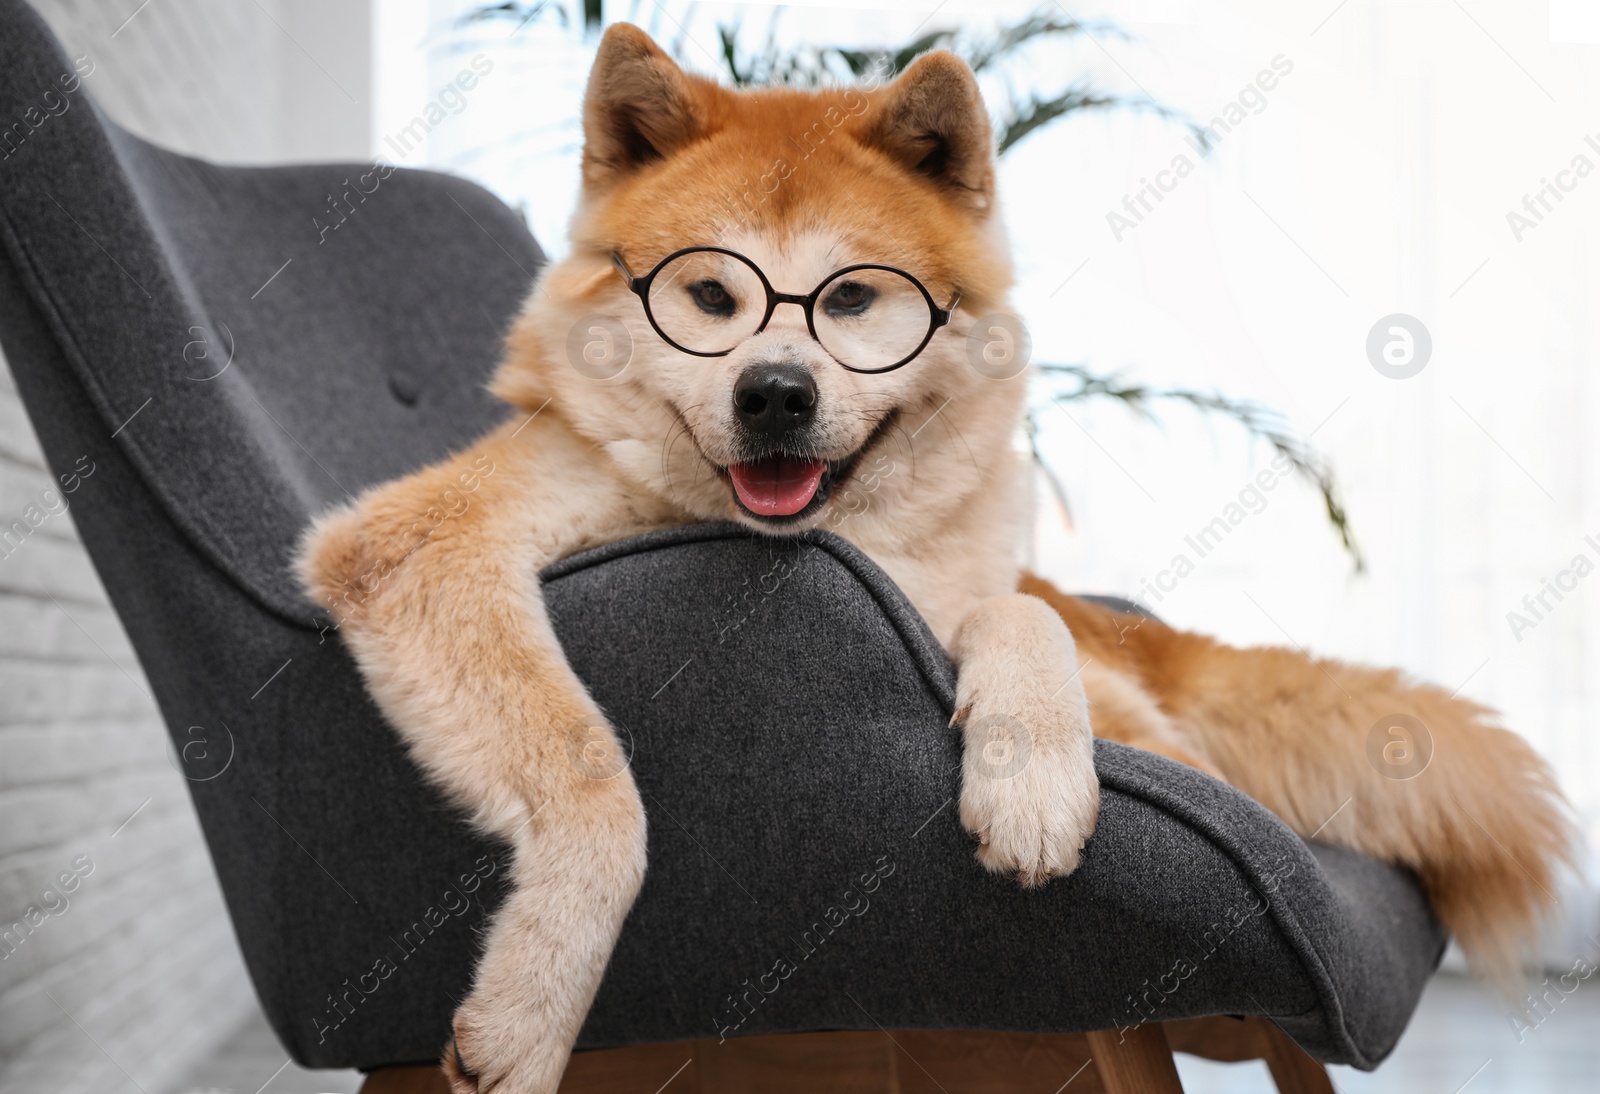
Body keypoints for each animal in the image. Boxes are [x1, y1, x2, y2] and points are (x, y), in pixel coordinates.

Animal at [300, 21, 1574, 1087]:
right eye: (709, 293)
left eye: (855, 298)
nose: (775, 392)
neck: (815, 533)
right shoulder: (422, 540)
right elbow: (592, 780)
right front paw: (535, 998)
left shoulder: (959, 591)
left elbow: (1018, 618)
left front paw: (1029, 779)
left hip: (1147, 718)